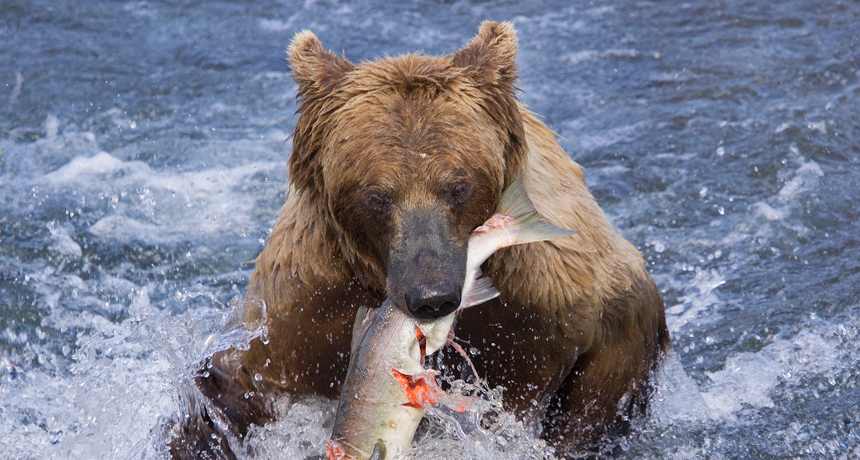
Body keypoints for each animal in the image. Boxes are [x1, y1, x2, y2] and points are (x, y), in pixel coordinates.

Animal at [168, 21, 670, 459]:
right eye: (376, 195)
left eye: (458, 186)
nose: (432, 296)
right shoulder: (299, 315)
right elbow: (222, 396)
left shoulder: (558, 301)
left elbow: (603, 379)